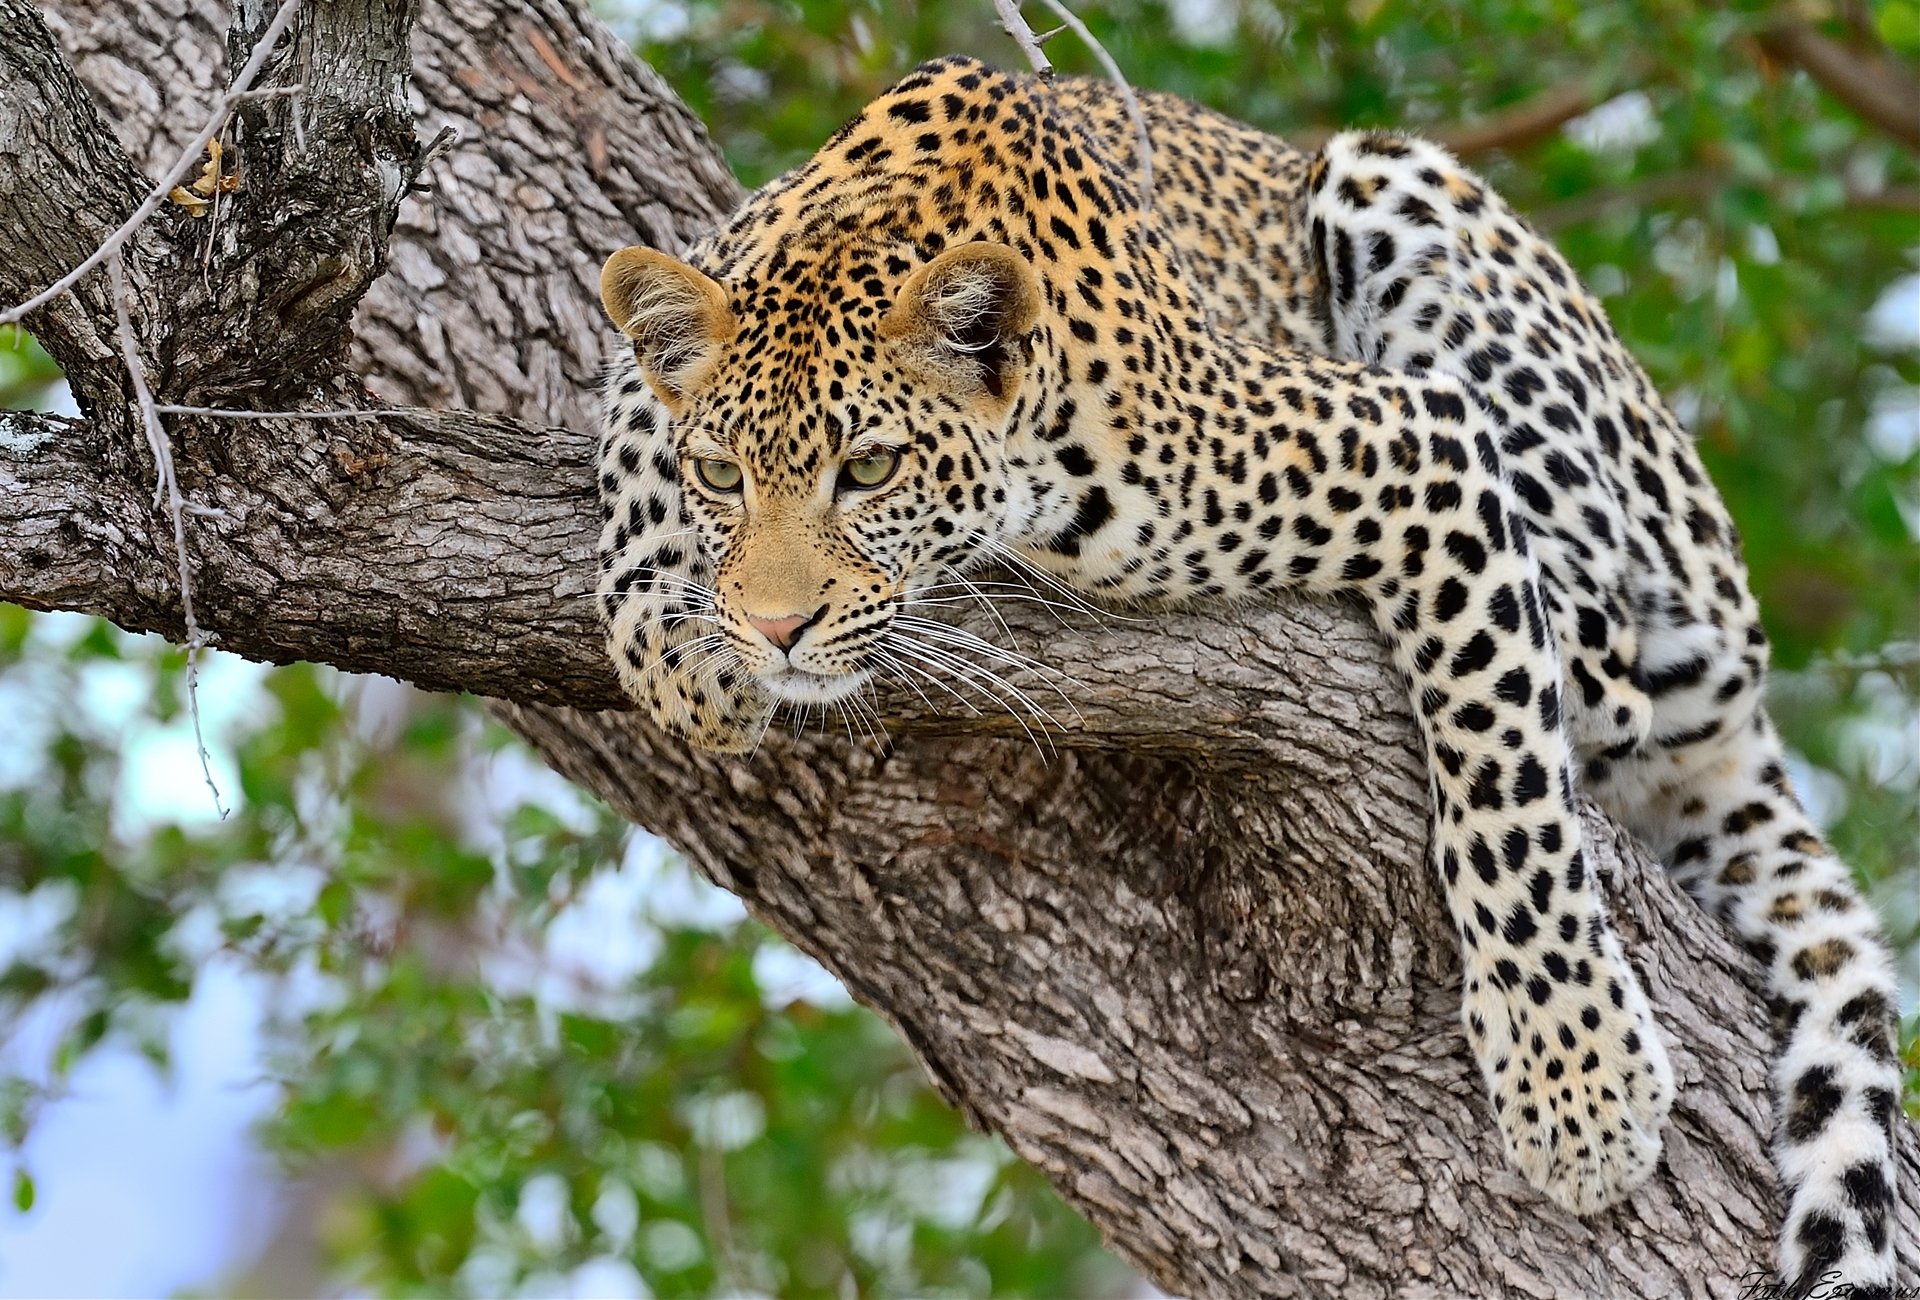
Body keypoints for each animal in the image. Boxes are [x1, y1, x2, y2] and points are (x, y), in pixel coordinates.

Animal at [592, 56, 1905, 1294]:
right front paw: (674, 638)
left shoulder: (1419, 445)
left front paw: (1575, 1079)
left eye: (868, 469)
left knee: (1606, 657)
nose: (775, 629)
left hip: (1411, 208)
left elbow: (1508, 793)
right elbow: (629, 430)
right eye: (723, 474)